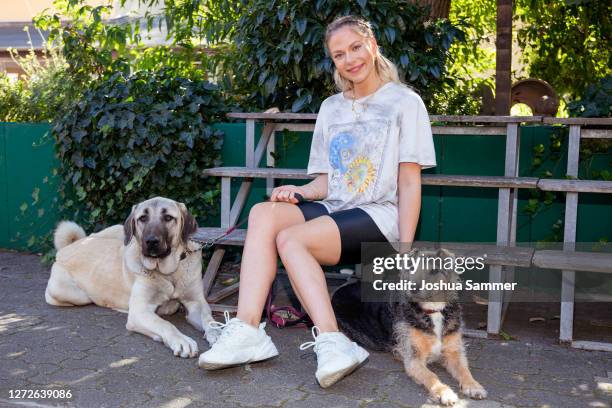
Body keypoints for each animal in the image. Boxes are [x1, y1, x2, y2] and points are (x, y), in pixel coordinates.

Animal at [44, 197, 220, 356]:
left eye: (168, 218)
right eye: (142, 218)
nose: (151, 241)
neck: (169, 272)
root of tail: (68, 247)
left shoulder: (196, 303)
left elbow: (209, 319)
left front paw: (218, 333)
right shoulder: (139, 312)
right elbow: (165, 324)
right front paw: (182, 340)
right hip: (72, 293)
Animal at [332, 247, 486, 406]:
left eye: (434, 270)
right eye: (412, 268)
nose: (413, 288)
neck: (432, 310)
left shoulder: (454, 352)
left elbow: (464, 370)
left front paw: (473, 386)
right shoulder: (413, 358)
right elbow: (432, 376)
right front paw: (444, 392)